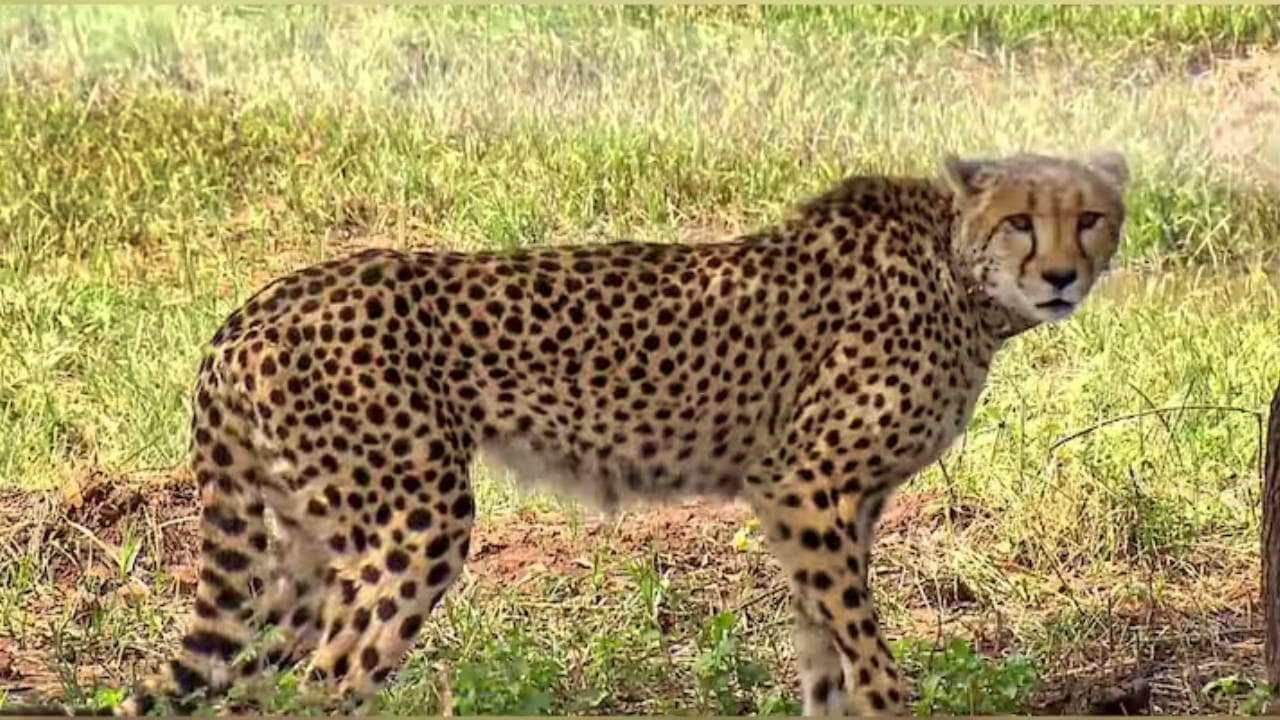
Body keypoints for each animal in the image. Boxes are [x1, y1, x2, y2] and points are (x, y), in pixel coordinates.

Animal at [116, 149, 1128, 716]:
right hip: (411, 528)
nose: (1061, 278)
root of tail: (255, 306)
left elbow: (823, 651)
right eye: (1019, 222)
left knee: (255, 686)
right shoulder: (802, 486)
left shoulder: (833, 508)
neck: (960, 279)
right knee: (325, 685)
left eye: (1089, 219)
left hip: (305, 552)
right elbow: (864, 651)